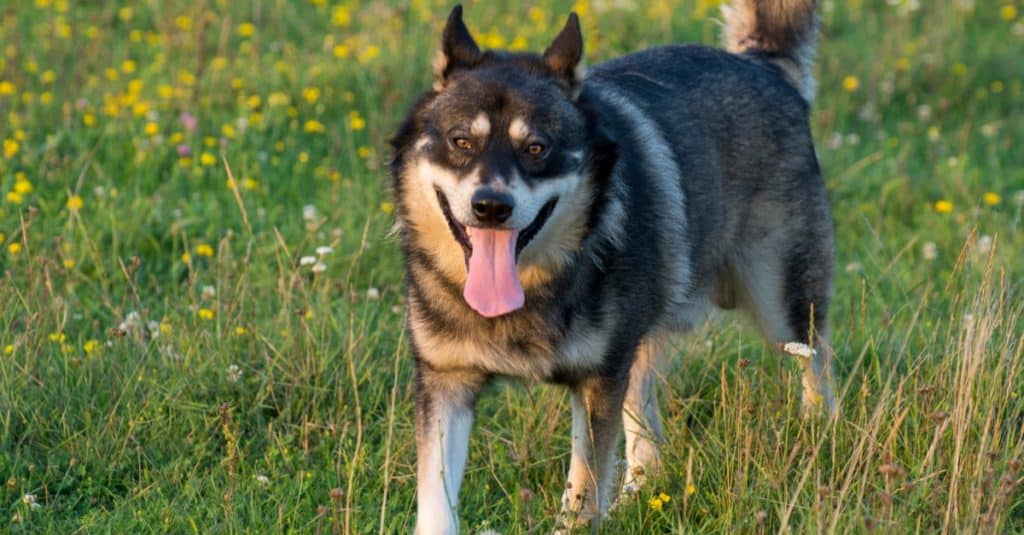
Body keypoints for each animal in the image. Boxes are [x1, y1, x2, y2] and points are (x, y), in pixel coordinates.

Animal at [387, 3, 835, 528]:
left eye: (536, 148)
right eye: (461, 141)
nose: (491, 206)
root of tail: (764, 65)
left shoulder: (597, 380)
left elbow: (583, 490)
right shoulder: (446, 382)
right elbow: (436, 504)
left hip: (782, 305)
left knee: (818, 363)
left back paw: (821, 434)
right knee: (646, 438)